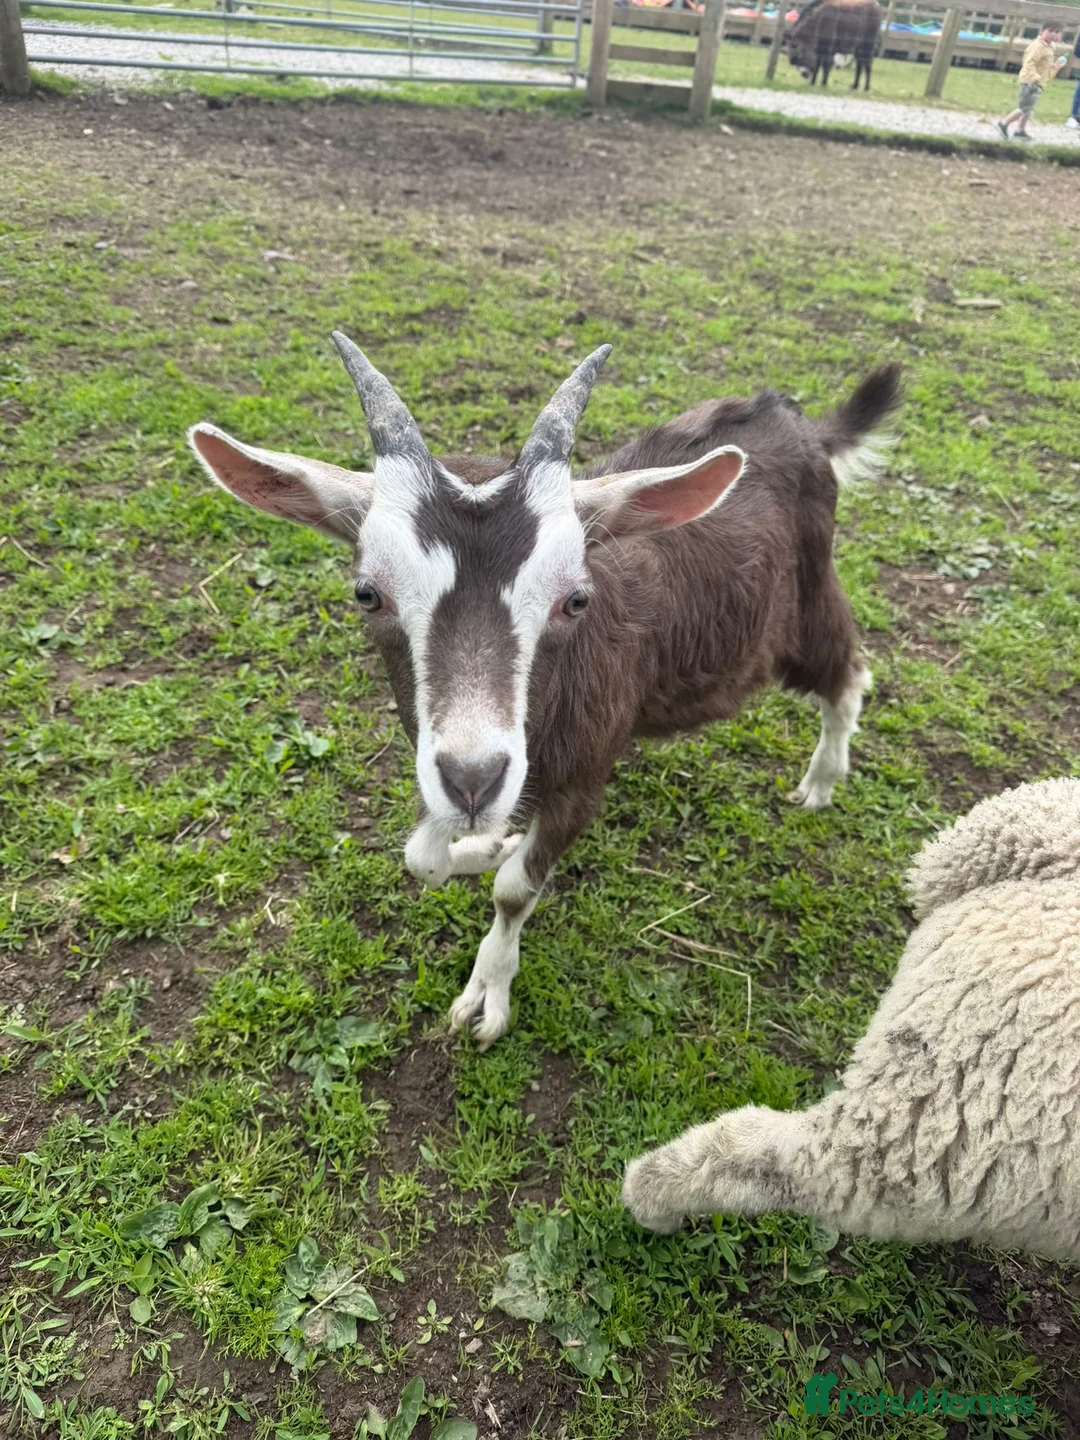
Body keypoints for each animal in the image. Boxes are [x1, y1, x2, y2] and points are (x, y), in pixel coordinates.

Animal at [189, 337, 900, 1049]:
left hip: (805, 606)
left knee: (848, 674)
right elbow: (421, 856)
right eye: (368, 594)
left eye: (575, 599)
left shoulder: (582, 781)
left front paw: (486, 998)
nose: (473, 781)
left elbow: (512, 891)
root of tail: (800, 425)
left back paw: (822, 781)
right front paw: (483, 846)